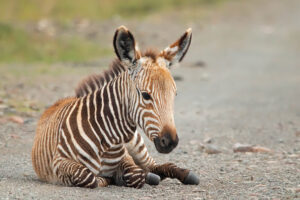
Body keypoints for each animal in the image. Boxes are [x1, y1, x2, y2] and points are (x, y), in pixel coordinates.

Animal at [31, 25, 199, 188]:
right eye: (145, 95)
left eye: (174, 94)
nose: (170, 142)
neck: (106, 138)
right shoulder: (59, 162)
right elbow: (88, 177)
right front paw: (108, 179)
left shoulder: (126, 158)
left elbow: (136, 175)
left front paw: (120, 178)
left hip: (137, 145)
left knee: (153, 166)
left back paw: (184, 175)